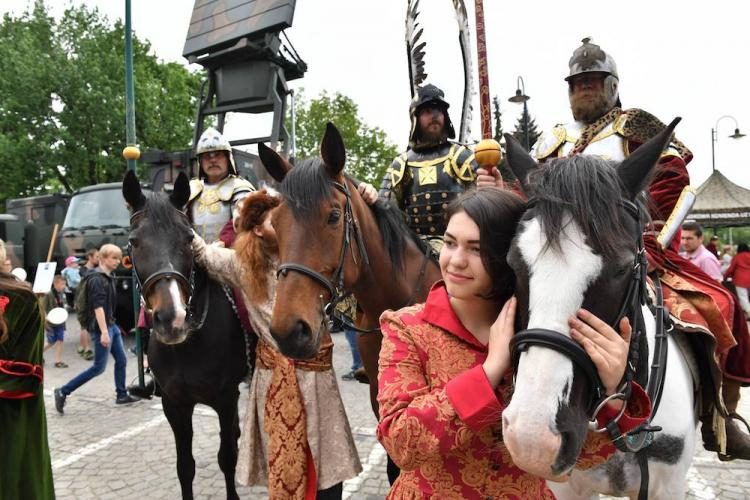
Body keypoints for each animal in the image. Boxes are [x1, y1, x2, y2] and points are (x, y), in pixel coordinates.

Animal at [122, 171, 248, 500]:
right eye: (133, 242)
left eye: (189, 239)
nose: (172, 319)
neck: (188, 345)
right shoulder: (174, 404)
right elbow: (185, 467)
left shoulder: (225, 399)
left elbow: (227, 458)